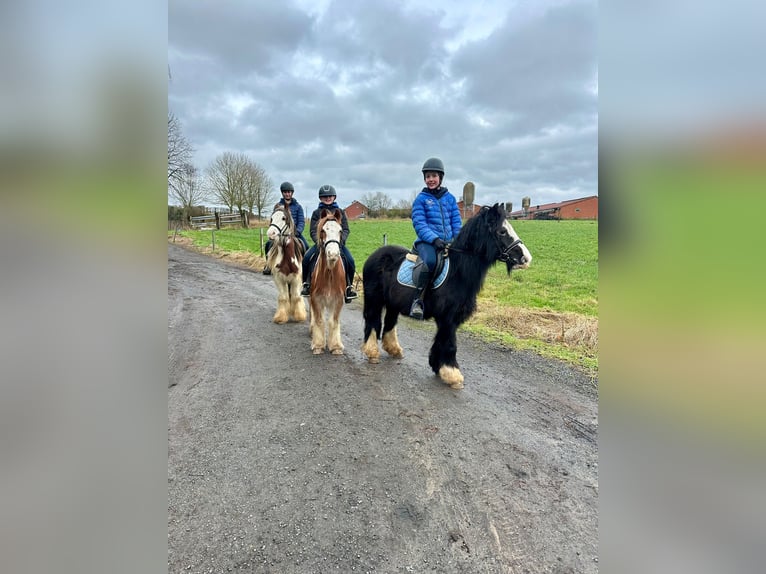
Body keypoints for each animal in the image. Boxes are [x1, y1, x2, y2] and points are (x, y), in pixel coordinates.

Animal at [362, 204, 532, 392]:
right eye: (502, 231)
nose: (526, 258)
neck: (457, 273)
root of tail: (376, 255)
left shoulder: (449, 320)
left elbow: (441, 341)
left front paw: (438, 367)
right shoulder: (448, 318)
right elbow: (450, 344)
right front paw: (453, 375)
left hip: (393, 303)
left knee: (390, 323)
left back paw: (394, 349)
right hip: (374, 299)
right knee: (372, 322)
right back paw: (372, 352)